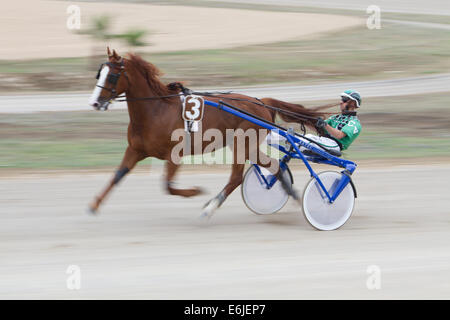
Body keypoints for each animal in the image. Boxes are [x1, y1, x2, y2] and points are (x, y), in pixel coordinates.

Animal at [88, 48, 326, 219]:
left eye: (112, 76)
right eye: (99, 73)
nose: (95, 102)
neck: (156, 111)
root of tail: (261, 101)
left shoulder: (174, 155)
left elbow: (168, 186)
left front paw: (195, 191)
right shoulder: (135, 150)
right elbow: (118, 175)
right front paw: (94, 204)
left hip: (242, 143)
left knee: (236, 177)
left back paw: (210, 207)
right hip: (246, 145)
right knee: (274, 166)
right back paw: (292, 196)